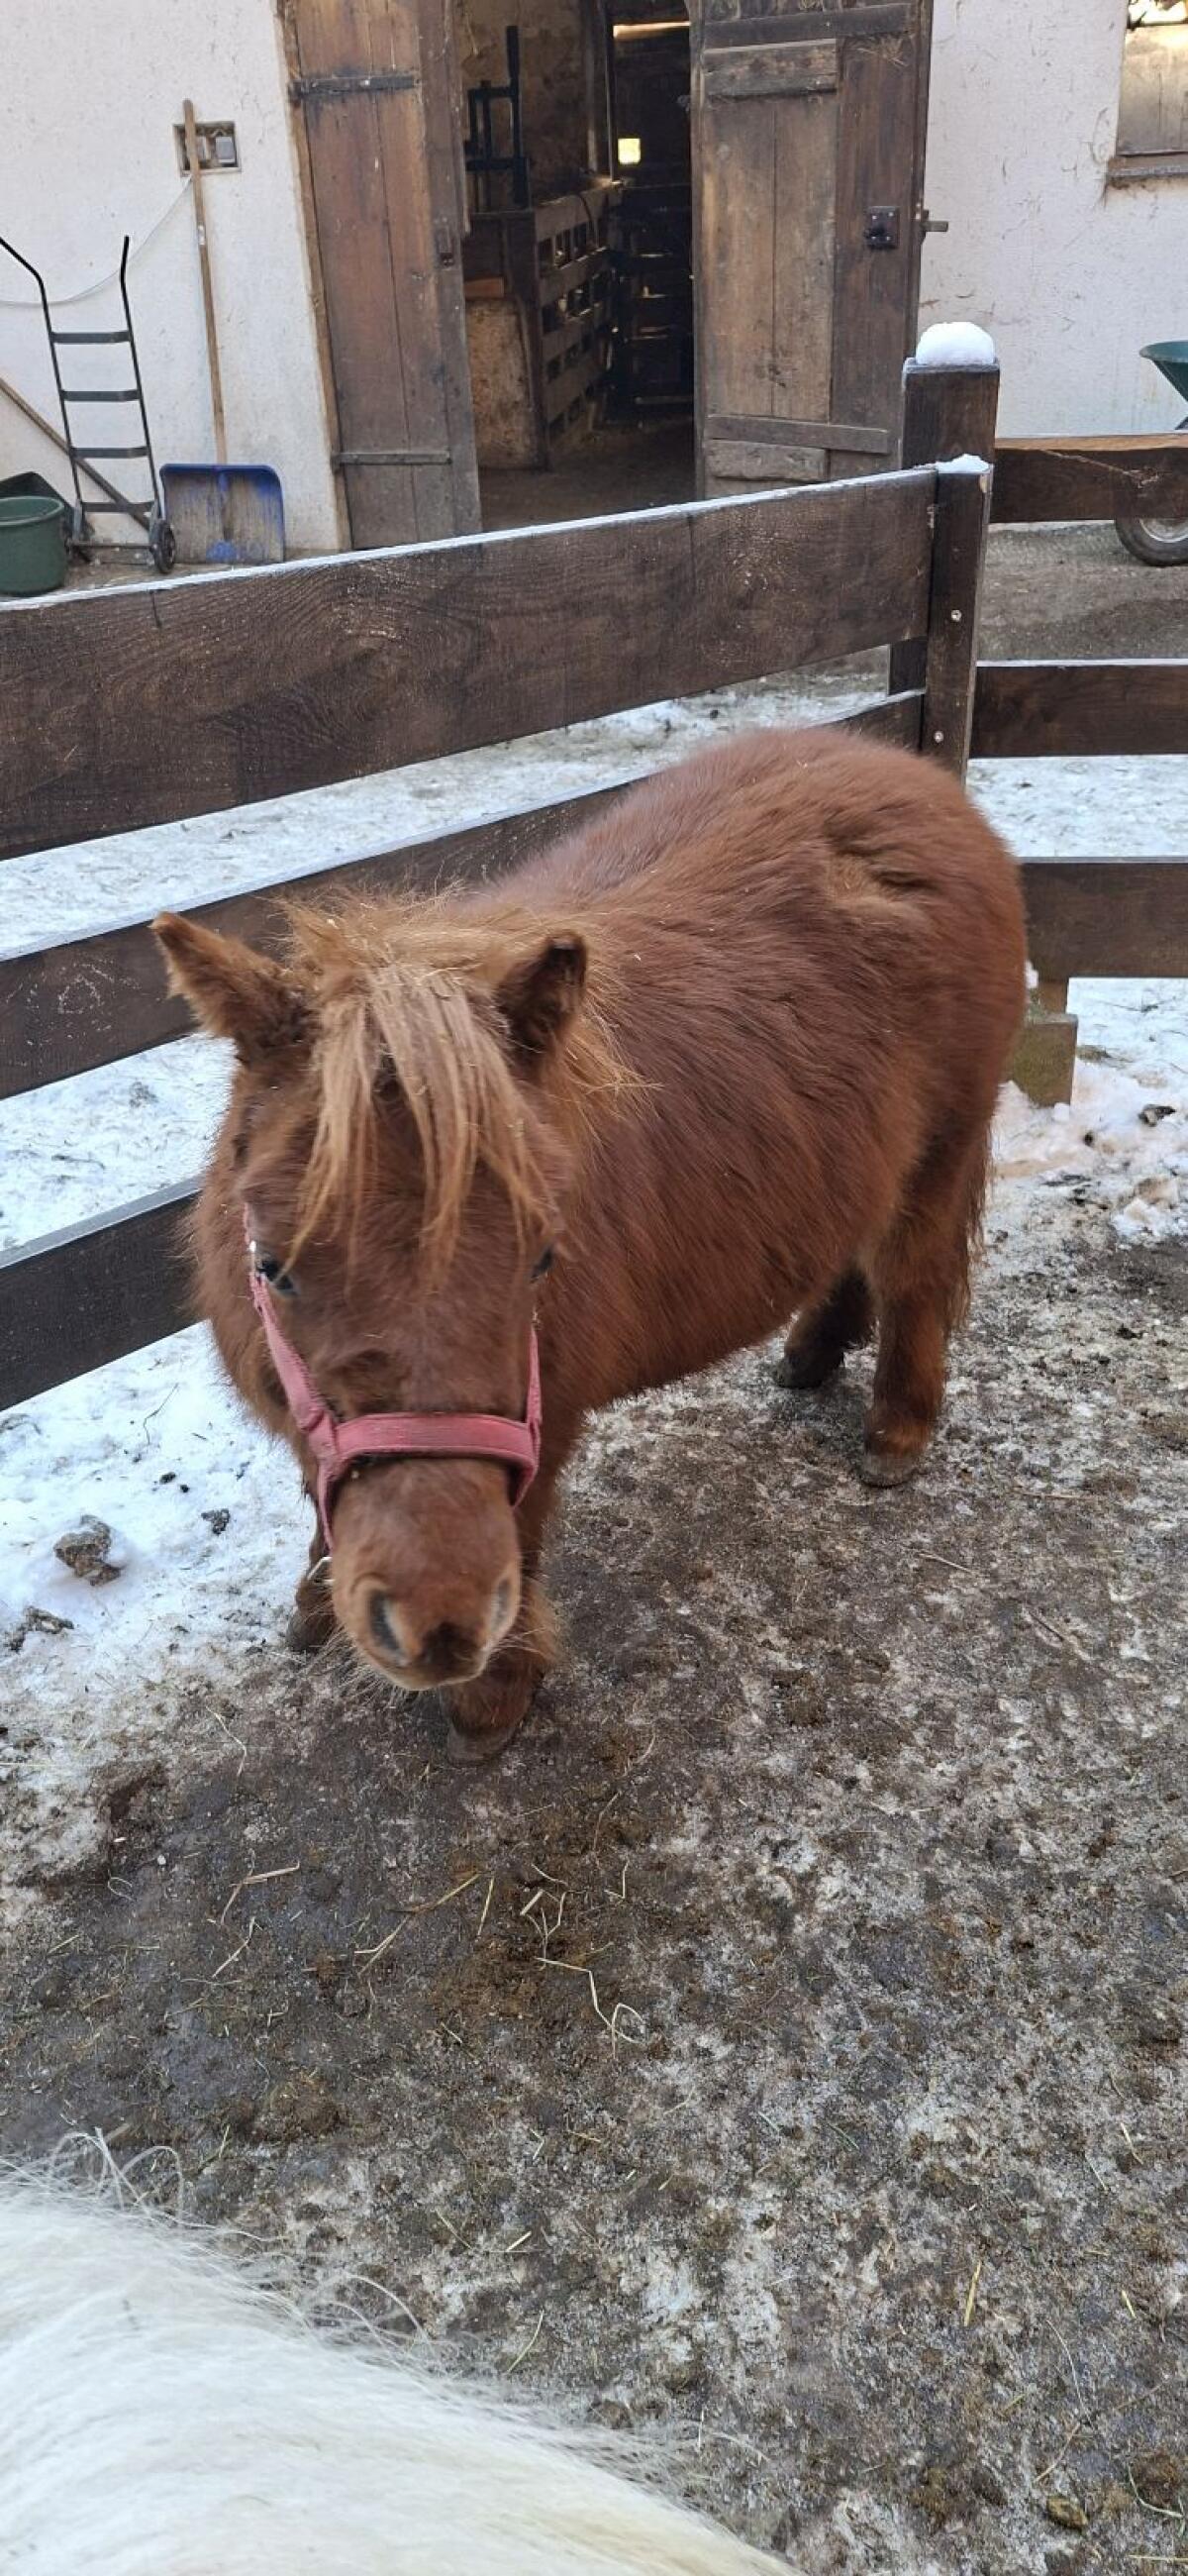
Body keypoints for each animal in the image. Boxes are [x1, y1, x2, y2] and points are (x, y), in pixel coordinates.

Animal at [156, 726, 1026, 1760]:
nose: (441, 1623)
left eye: (542, 1256)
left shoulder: (545, 1418)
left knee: (915, 1276)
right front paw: (316, 1604)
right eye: (273, 1268)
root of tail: (916, 778)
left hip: (943, 1152)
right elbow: (316, 1491)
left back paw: (895, 1430)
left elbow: (523, 1533)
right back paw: (811, 1354)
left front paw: (495, 1695)